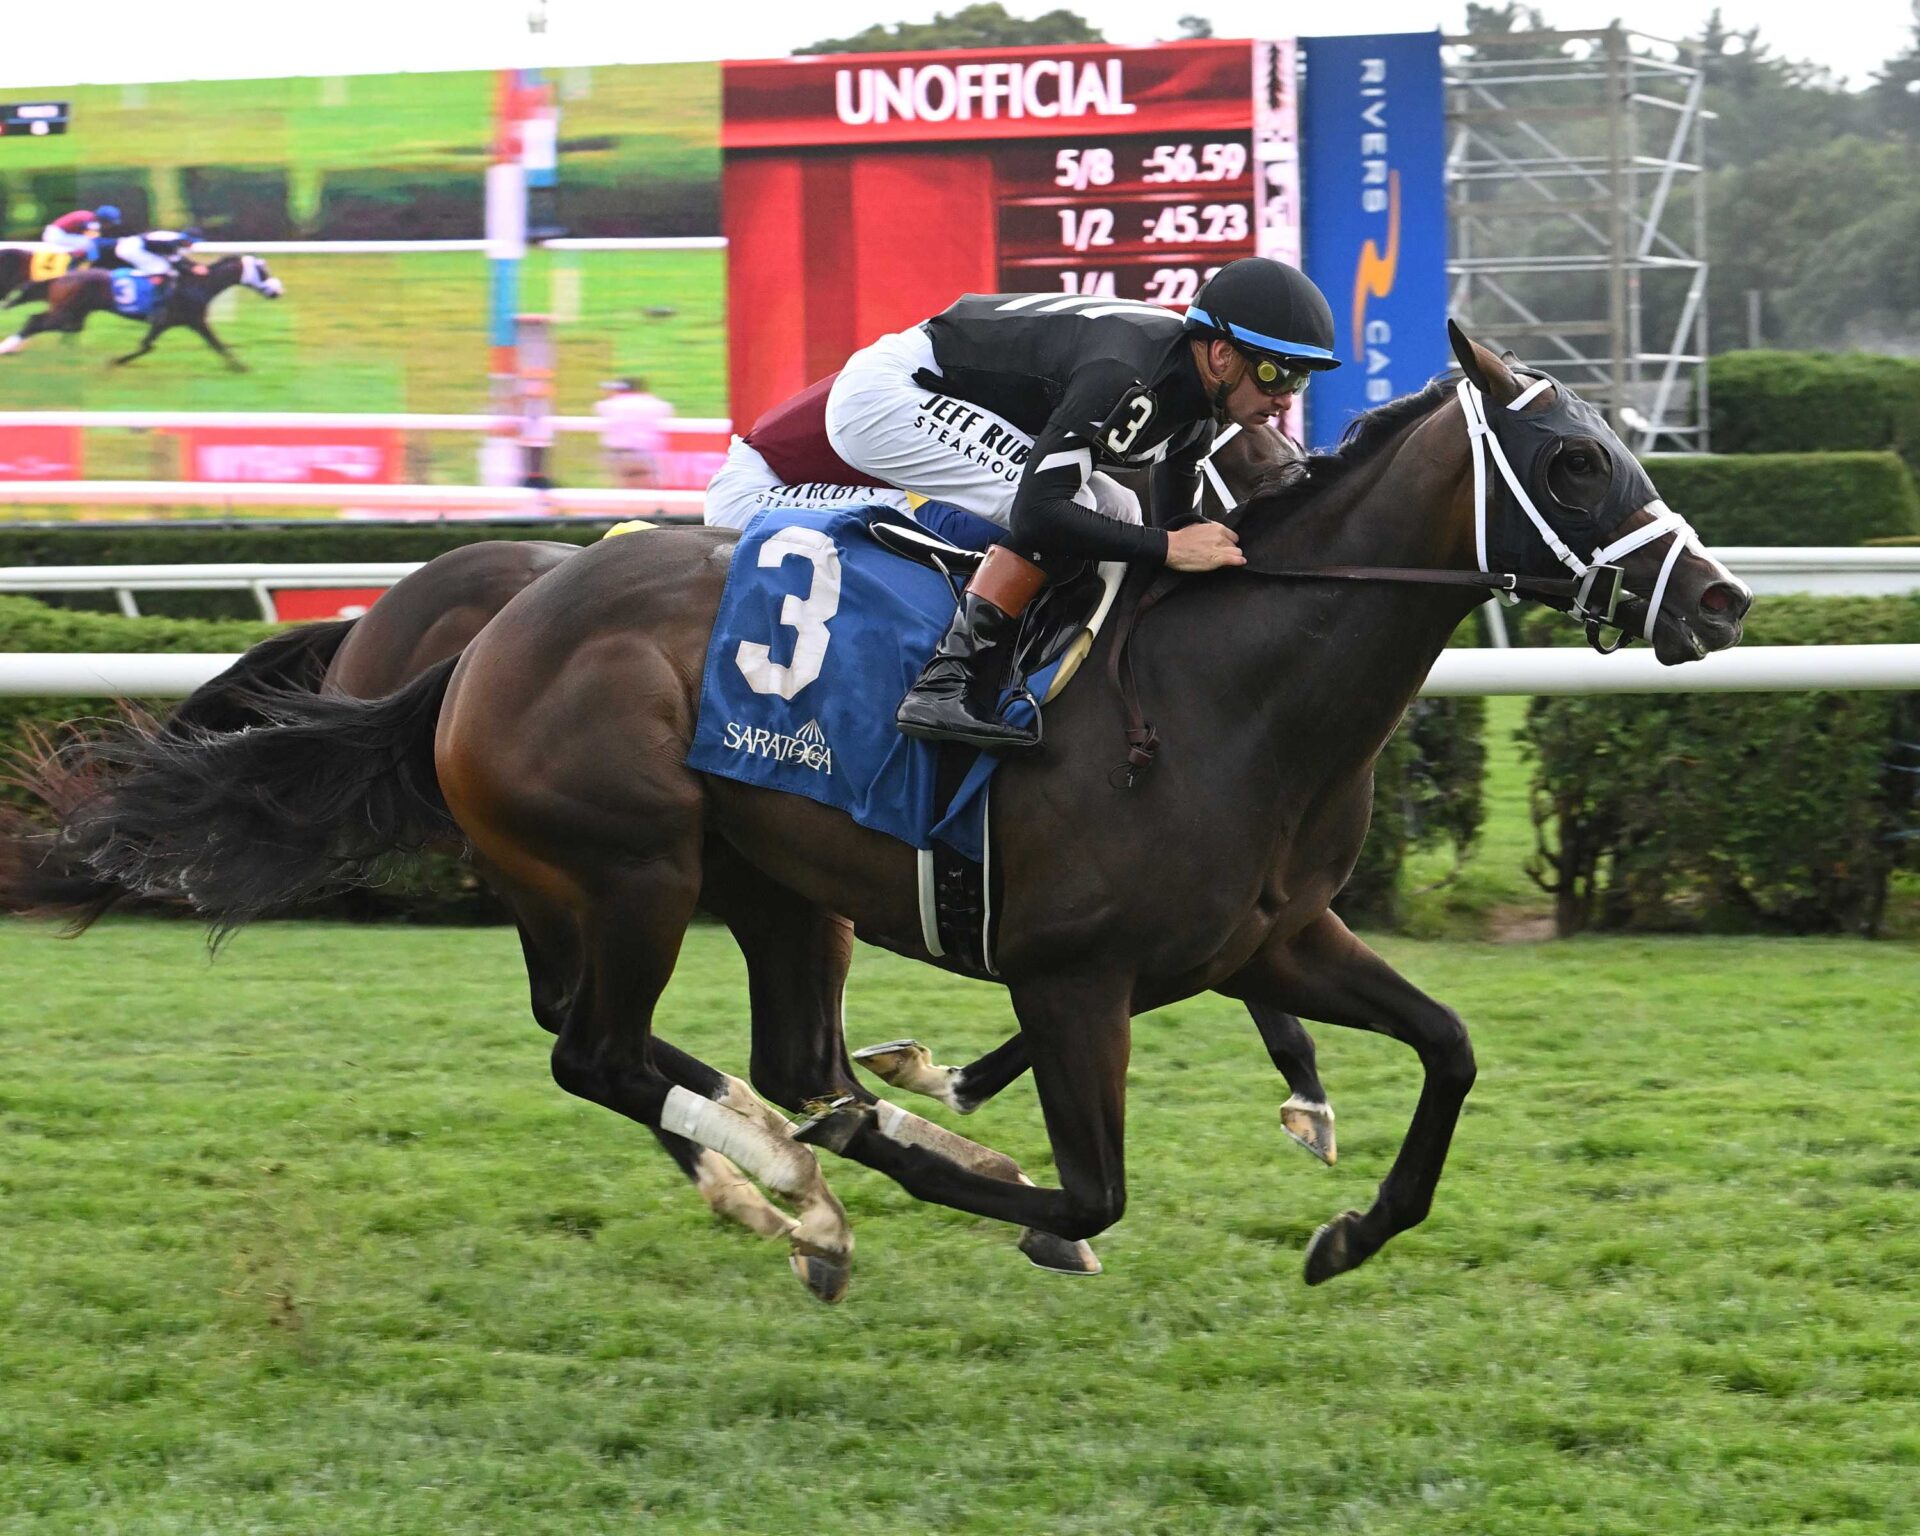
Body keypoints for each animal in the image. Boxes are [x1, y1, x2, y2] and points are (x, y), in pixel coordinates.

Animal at [0, 255, 283, 369]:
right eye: (263, 271)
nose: (277, 291)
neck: (197, 283)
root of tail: (61, 278)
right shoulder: (187, 320)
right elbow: (148, 345)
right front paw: (116, 360)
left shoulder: (178, 322)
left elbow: (216, 344)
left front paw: (239, 367)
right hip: (66, 315)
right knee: (34, 321)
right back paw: (8, 347)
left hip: (74, 318)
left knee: (40, 322)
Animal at [21, 326, 1751, 1302]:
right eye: (1571, 460)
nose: (1720, 602)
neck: (1228, 693)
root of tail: (482, 637)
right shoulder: (1071, 974)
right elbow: (1089, 1184)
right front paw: (977, 1180)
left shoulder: (1273, 937)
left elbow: (1448, 1049)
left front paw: (1347, 1227)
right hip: (632, 869)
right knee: (602, 1053)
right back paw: (801, 1198)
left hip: (771, 885)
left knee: (744, 1054)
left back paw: (799, 1163)